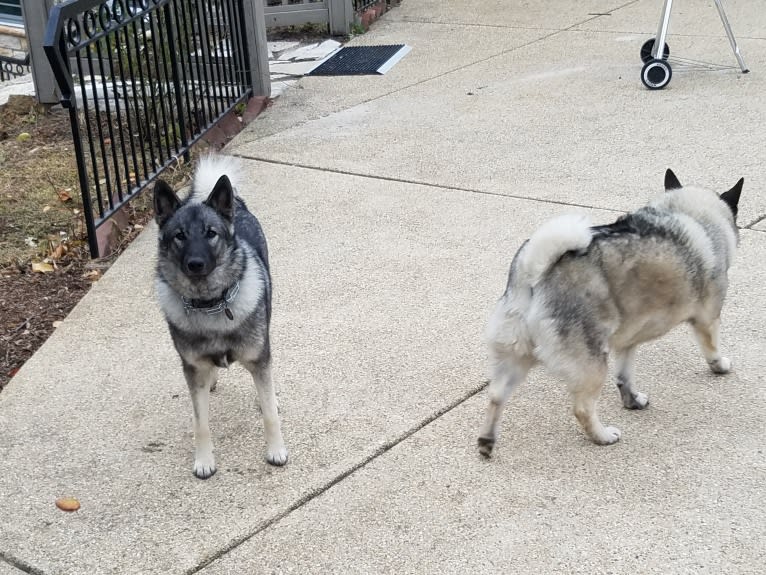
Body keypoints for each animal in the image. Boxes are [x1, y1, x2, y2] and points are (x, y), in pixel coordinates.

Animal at [153, 155, 288, 480]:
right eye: (179, 236)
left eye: (210, 233)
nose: (195, 263)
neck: (210, 304)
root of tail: (235, 202)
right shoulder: (192, 369)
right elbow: (200, 423)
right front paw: (204, 460)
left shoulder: (259, 359)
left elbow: (270, 413)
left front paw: (275, 450)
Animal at [480, 169, 744, 456]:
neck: (688, 214)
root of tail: (534, 272)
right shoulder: (708, 318)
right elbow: (712, 347)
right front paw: (720, 365)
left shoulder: (628, 342)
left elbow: (624, 376)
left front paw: (632, 399)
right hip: (591, 362)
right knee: (582, 409)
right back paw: (602, 436)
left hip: (517, 355)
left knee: (495, 396)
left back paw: (486, 441)